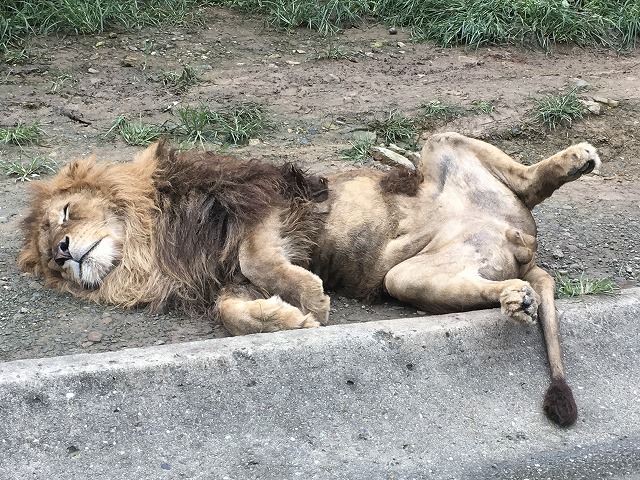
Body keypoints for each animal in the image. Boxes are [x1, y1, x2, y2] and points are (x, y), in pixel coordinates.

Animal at [18, 132, 600, 428]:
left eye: (65, 214)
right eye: (50, 260)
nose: (64, 253)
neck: (149, 245)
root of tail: (520, 243)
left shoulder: (265, 205)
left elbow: (259, 257)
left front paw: (313, 302)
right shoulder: (222, 278)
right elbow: (231, 312)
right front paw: (287, 319)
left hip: (440, 144)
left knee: (528, 182)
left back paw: (578, 158)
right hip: (406, 276)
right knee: (485, 275)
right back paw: (514, 298)